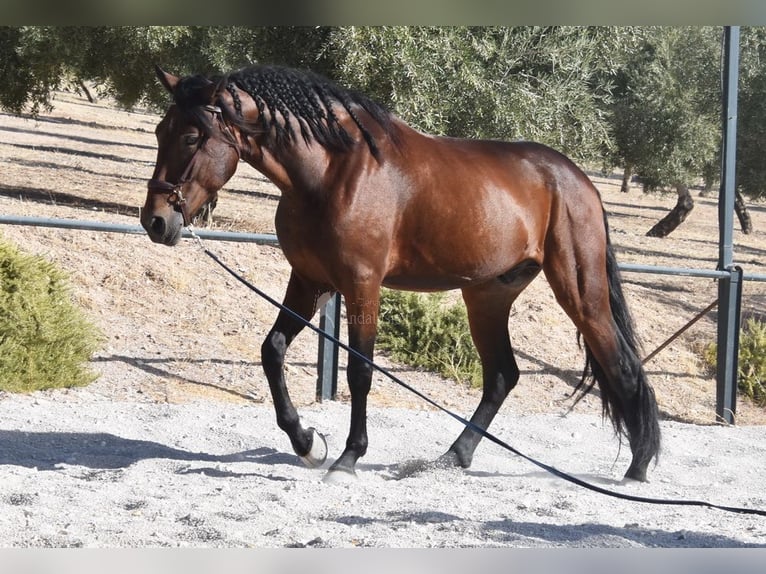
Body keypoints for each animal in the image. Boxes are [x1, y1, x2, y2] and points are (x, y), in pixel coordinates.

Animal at [141, 64, 661, 483]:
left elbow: (359, 371)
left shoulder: (362, 284)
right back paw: (453, 457)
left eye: (191, 136)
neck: (331, 172)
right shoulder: (310, 280)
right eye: (160, 130)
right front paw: (307, 443)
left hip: (579, 291)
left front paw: (347, 459)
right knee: (502, 377)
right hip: (487, 296)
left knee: (622, 366)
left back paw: (637, 471)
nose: (155, 221)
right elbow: (273, 350)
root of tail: (579, 180)